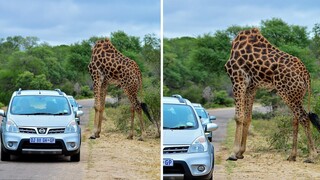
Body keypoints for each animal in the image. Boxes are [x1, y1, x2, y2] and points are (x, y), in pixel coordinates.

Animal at [225, 27, 320, 162]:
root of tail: (306, 75)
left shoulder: (237, 78)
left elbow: (239, 117)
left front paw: (233, 154)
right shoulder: (252, 86)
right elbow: (248, 117)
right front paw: (240, 153)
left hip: (288, 94)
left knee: (304, 117)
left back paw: (312, 155)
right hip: (296, 95)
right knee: (295, 120)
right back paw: (292, 155)